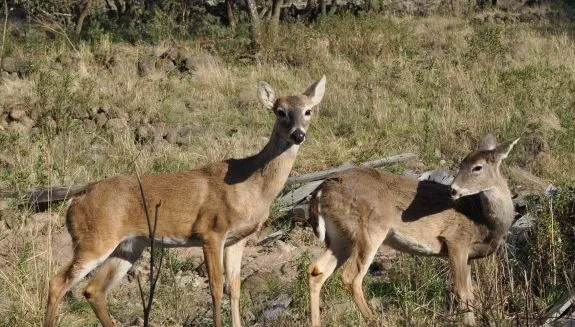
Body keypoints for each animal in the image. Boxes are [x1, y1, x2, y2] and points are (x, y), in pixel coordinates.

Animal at [42, 75, 326, 327]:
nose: (298, 135)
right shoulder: (211, 231)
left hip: (129, 246)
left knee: (93, 289)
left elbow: (234, 288)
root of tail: (74, 203)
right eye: (280, 111)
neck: (251, 185)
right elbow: (216, 288)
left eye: (308, 111)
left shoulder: (238, 238)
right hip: (94, 240)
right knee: (57, 282)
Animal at [308, 134, 520, 327]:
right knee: (350, 277)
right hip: (368, 231)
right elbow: (462, 293)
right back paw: (375, 320)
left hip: (341, 237)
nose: (452, 190)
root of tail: (321, 190)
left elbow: (470, 294)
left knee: (316, 270)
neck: (482, 219)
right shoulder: (456, 240)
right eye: (461, 164)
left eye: (477, 167)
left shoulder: (468, 256)